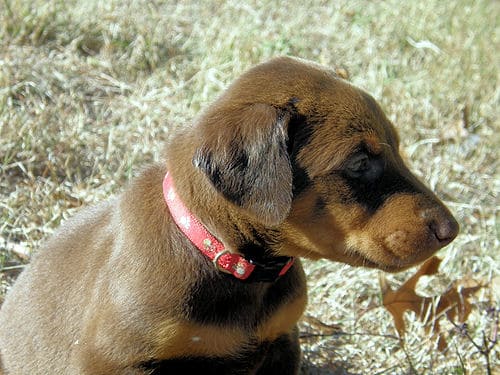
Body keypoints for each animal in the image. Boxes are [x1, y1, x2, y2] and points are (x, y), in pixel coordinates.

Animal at [0, 57, 458, 374]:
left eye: (396, 147)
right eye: (360, 162)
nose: (452, 230)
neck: (241, 269)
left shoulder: (282, 340)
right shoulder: (112, 358)